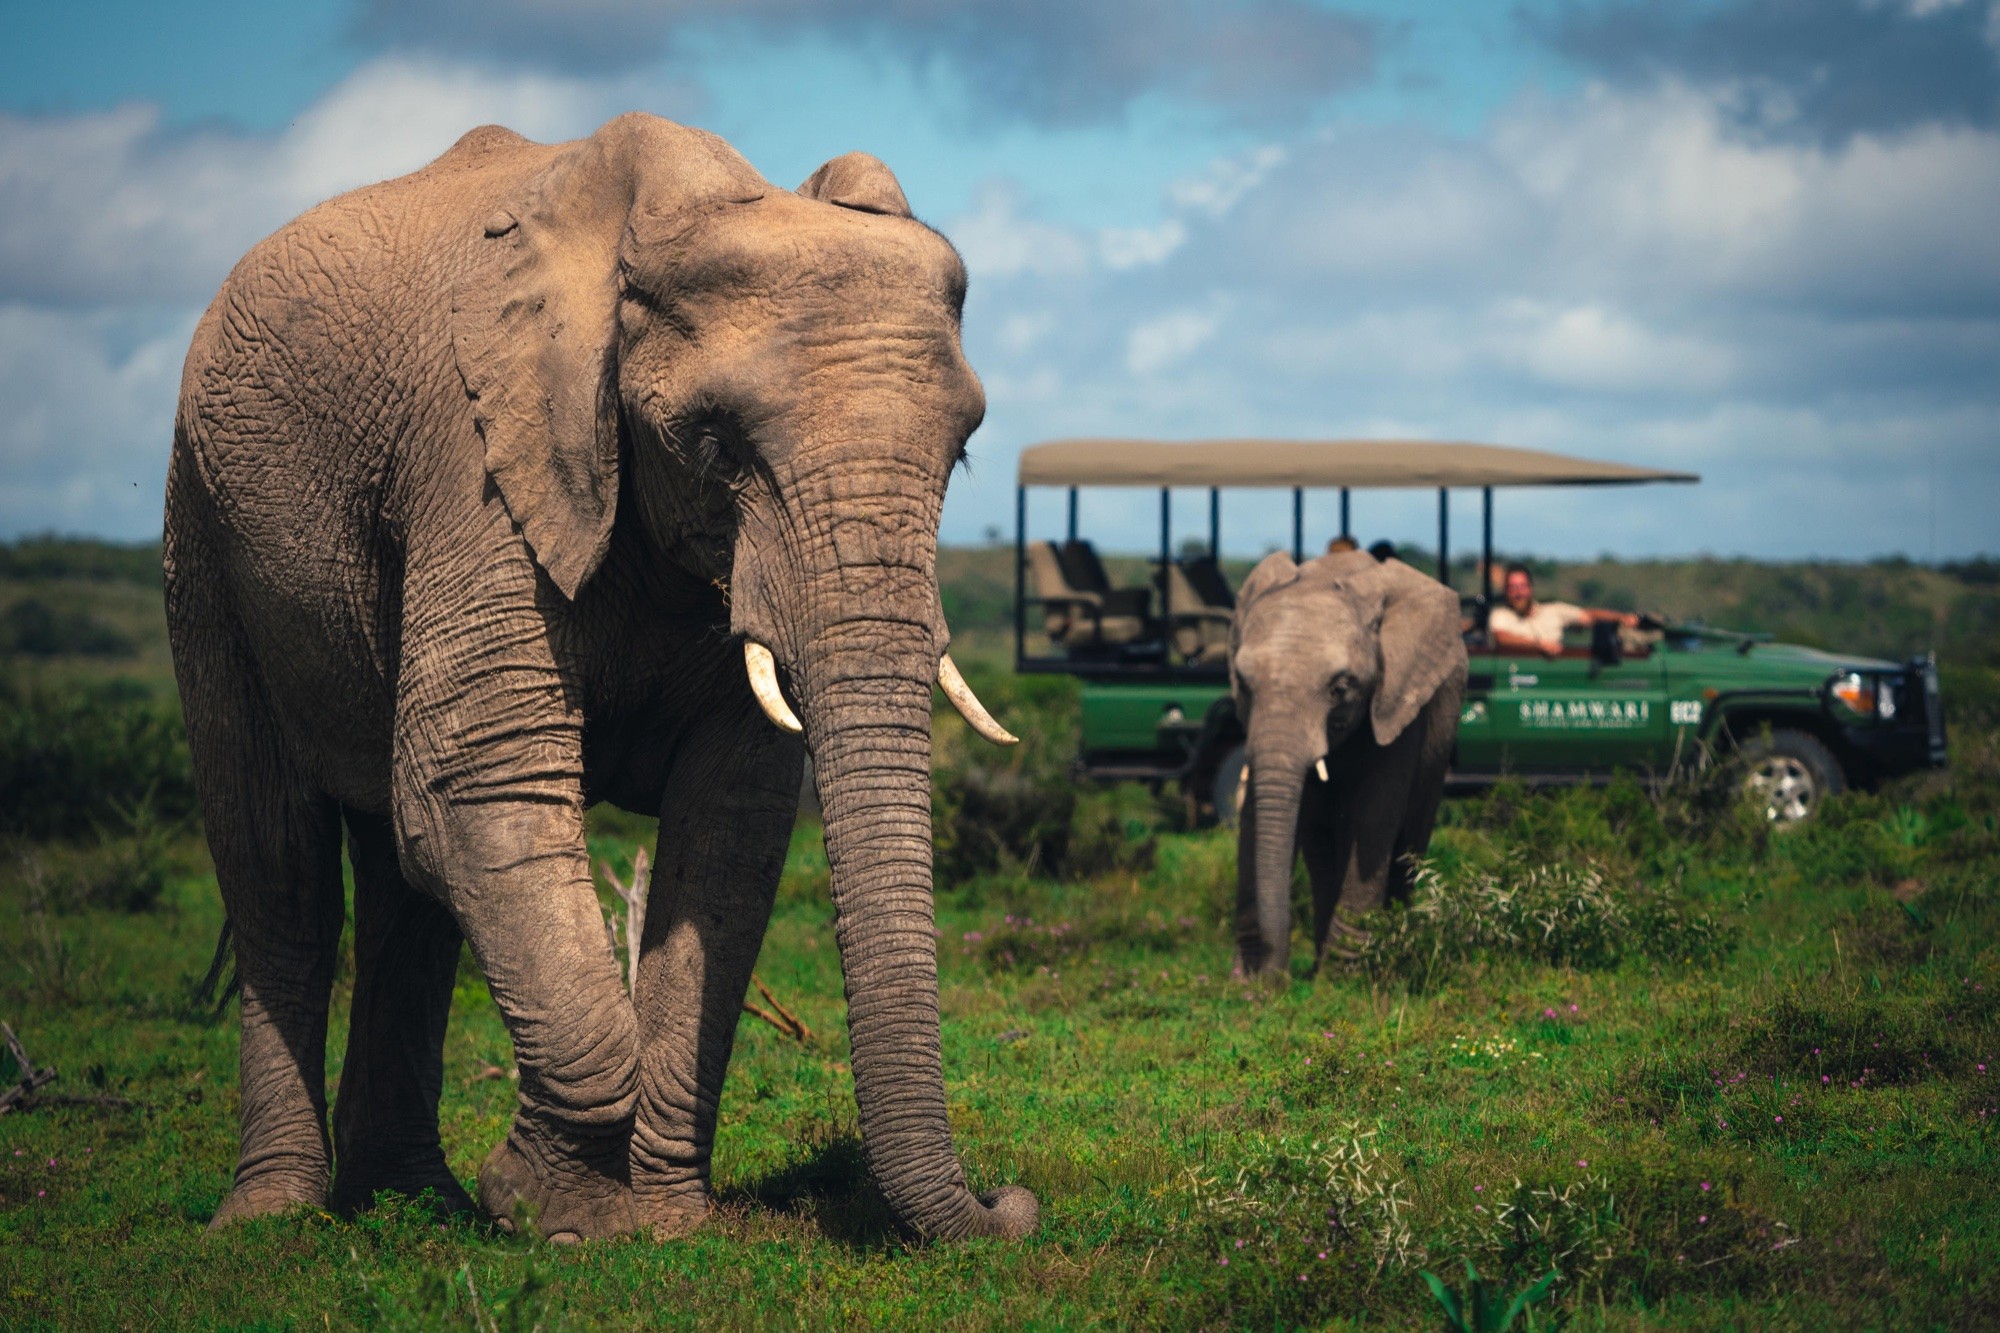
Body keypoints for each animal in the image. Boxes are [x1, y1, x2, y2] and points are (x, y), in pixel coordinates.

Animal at [163, 113, 1037, 1244]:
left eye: (963, 450)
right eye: (713, 441)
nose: (1009, 1202)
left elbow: (729, 827)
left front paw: (656, 1223)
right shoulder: (479, 460)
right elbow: (476, 782)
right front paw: (552, 1209)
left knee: (405, 898)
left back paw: (412, 1199)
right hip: (203, 525)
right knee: (281, 869)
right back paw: (271, 1217)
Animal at [1227, 549, 1468, 975]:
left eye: (1341, 688)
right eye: (1243, 683)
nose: (1274, 978)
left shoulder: (1398, 700)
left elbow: (1373, 818)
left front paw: (1344, 979)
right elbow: (1265, 817)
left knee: (1409, 844)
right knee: (1322, 846)